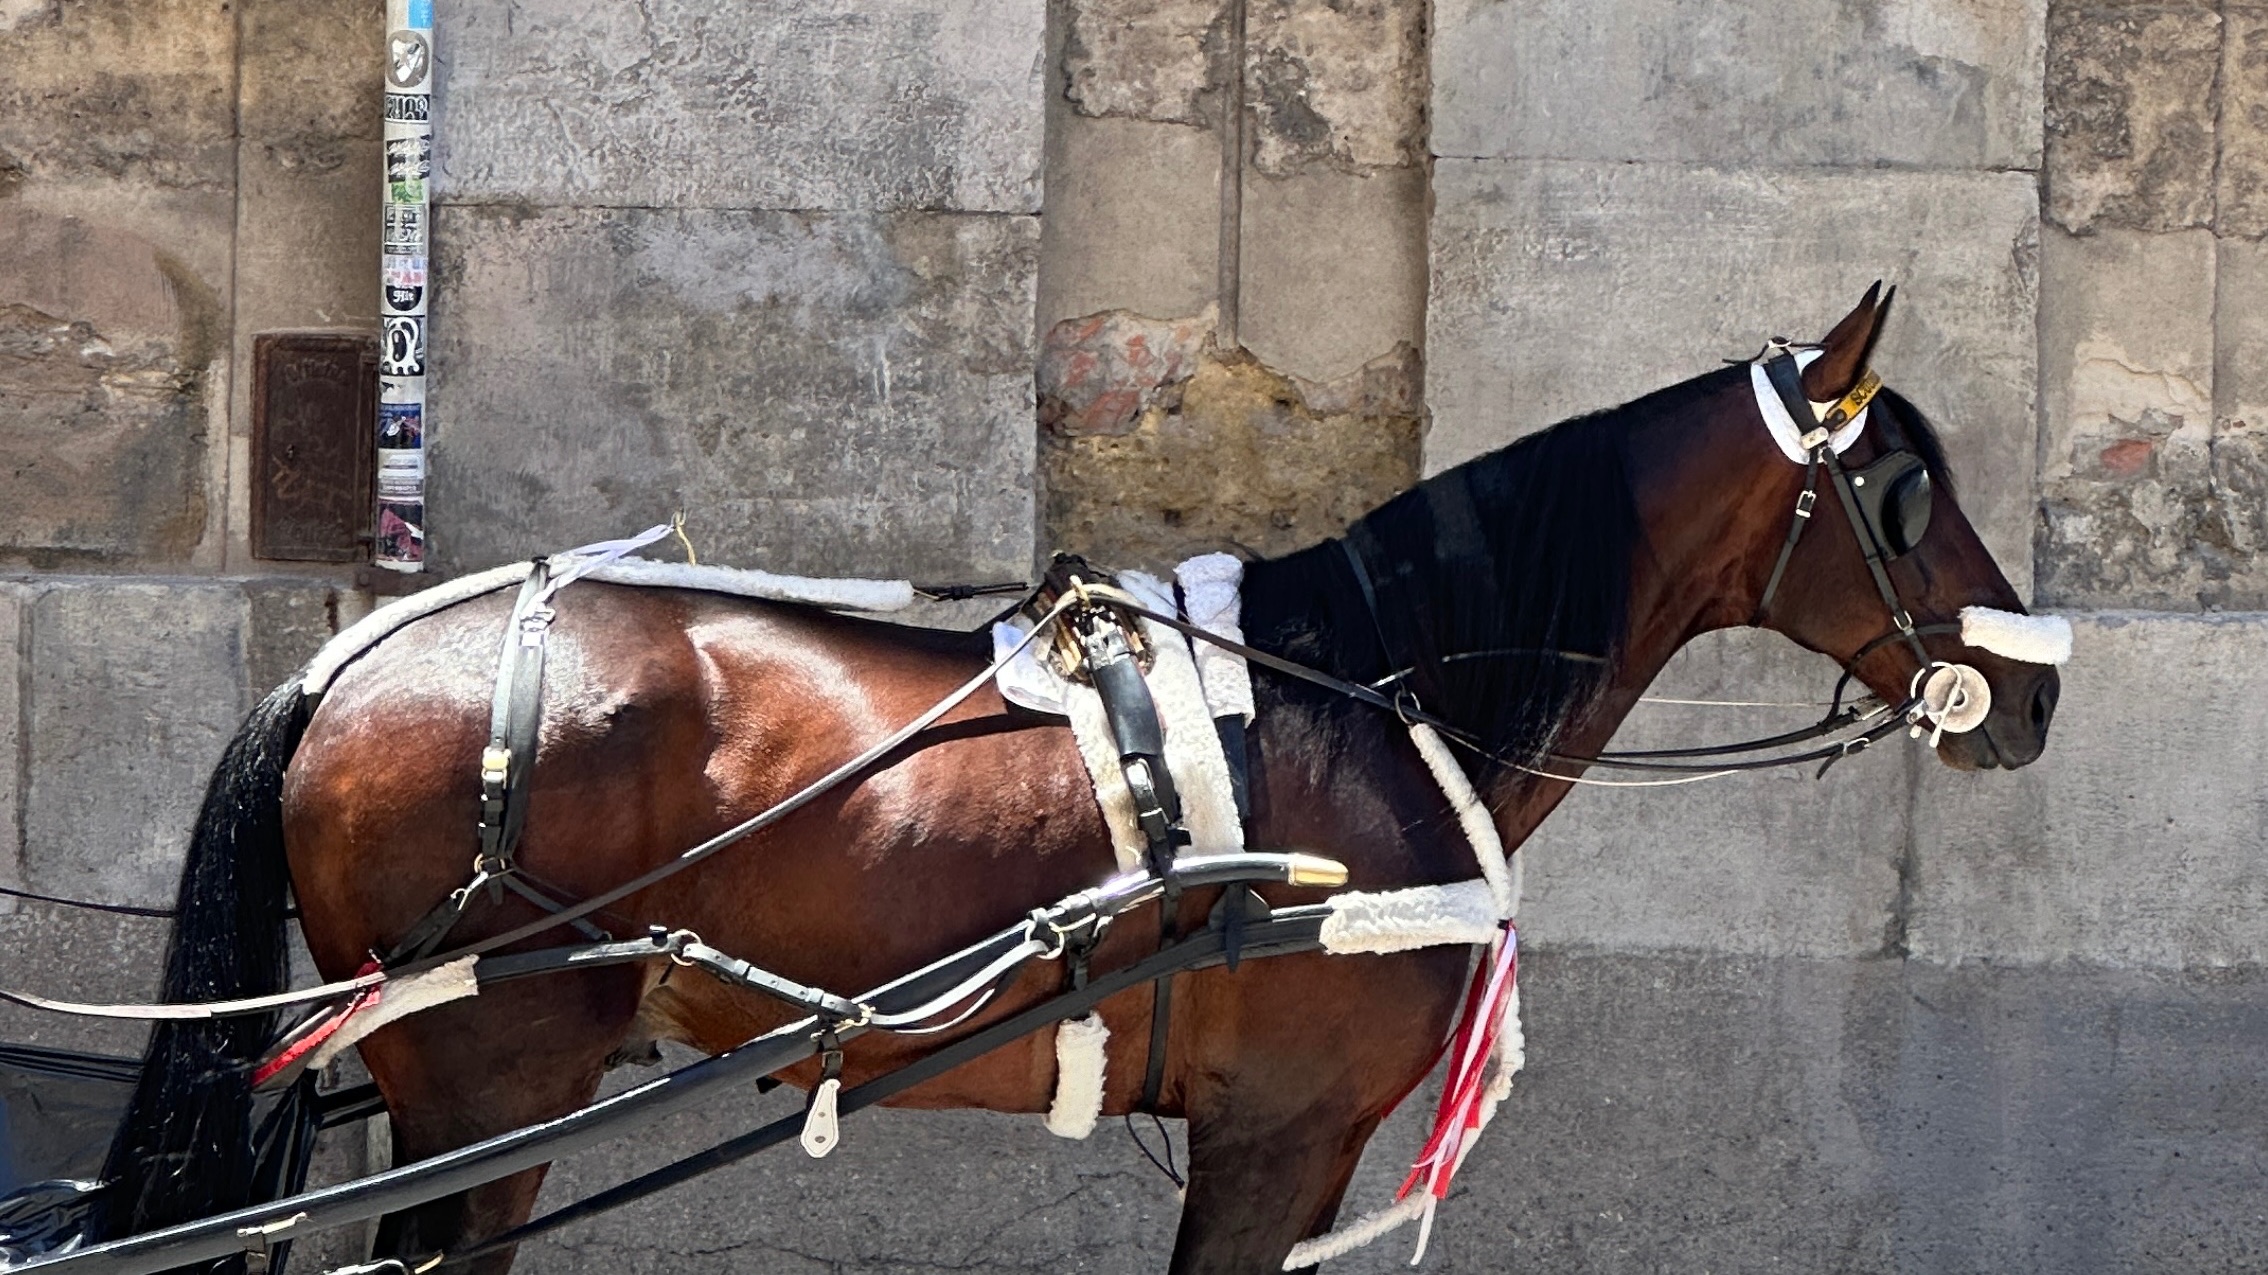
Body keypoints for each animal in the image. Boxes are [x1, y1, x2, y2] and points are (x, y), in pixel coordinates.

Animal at [102, 282, 2059, 1261]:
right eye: (1903, 492)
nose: (2032, 695)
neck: (1372, 690)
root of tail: (358, 652)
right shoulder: (1277, 1132)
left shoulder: (1291, 1143)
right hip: (490, 1087)